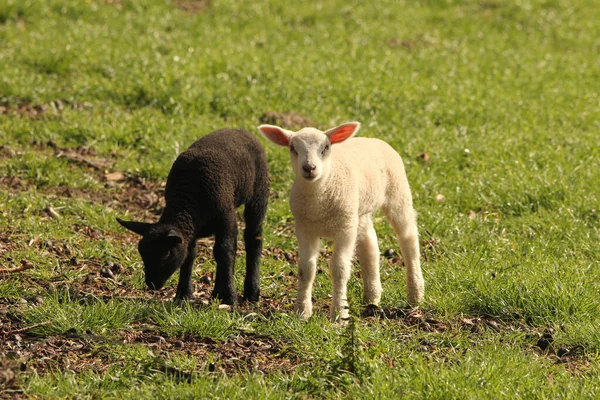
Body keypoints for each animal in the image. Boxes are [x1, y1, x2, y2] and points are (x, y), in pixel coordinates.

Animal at [115, 128, 270, 304]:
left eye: (166, 253)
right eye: (141, 252)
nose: (152, 284)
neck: (187, 202)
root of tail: (241, 130)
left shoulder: (226, 217)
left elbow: (224, 252)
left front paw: (228, 297)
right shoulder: (193, 230)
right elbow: (190, 255)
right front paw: (184, 295)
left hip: (259, 192)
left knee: (253, 237)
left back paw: (252, 292)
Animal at [256, 120, 422, 320]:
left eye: (326, 147)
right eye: (292, 149)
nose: (309, 168)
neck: (318, 201)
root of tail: (374, 140)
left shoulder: (345, 228)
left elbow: (339, 268)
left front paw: (339, 314)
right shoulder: (304, 227)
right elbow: (306, 269)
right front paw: (302, 312)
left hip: (398, 194)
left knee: (408, 239)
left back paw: (415, 295)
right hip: (358, 210)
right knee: (369, 244)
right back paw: (372, 297)